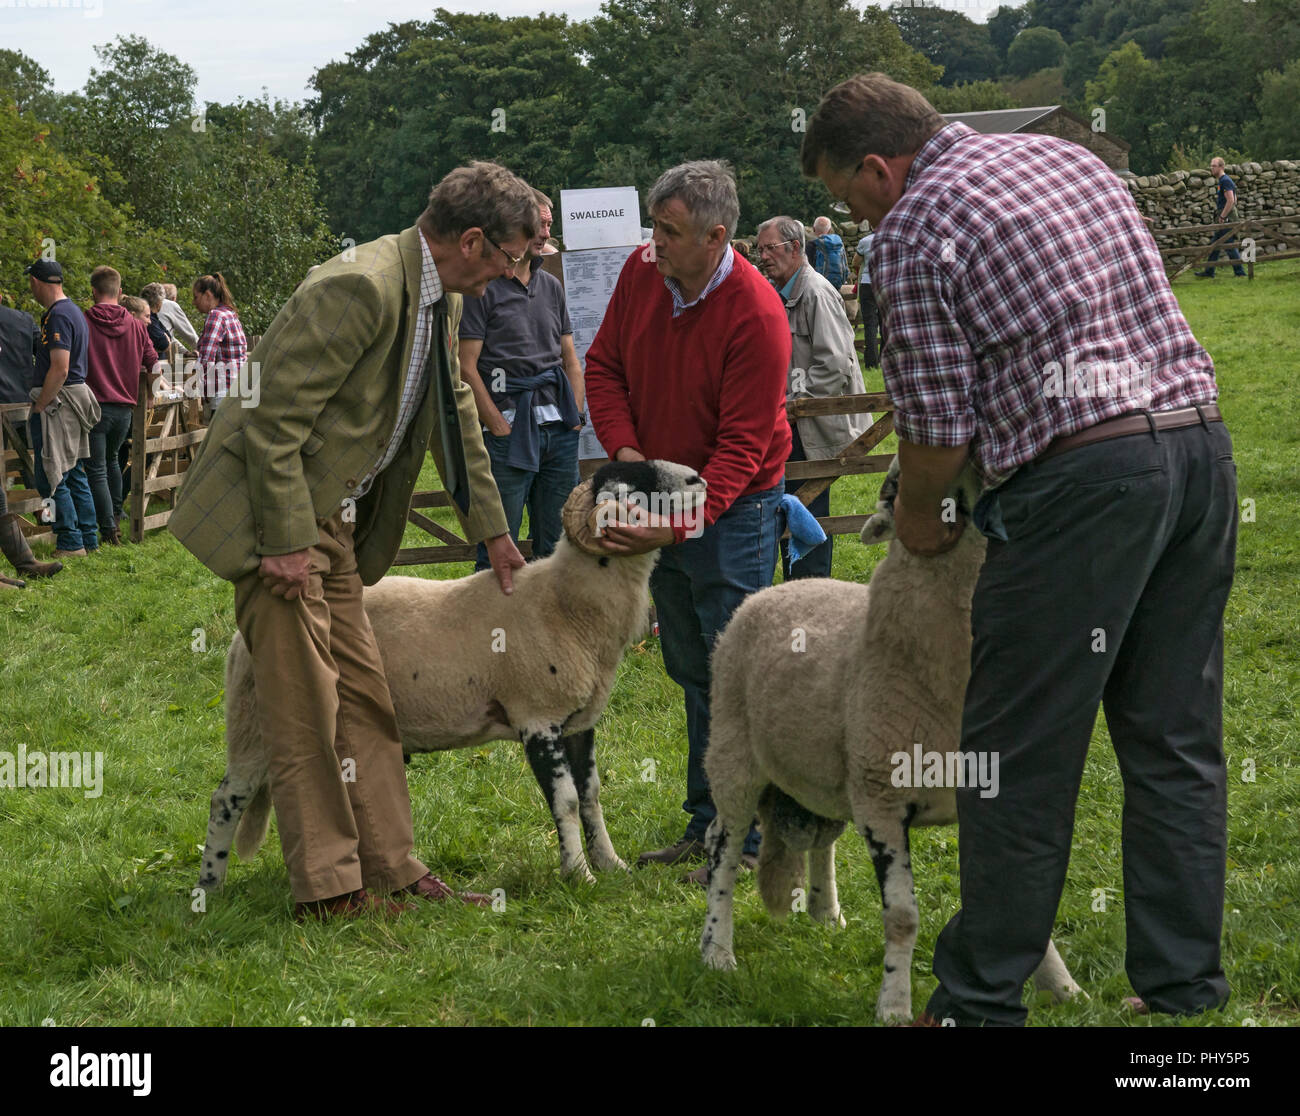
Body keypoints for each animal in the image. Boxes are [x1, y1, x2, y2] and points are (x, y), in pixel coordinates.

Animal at [197, 457, 707, 889]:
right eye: (637, 489)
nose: (700, 479)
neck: (563, 602)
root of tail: (240, 640)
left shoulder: (579, 723)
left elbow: (591, 796)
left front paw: (611, 864)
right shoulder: (537, 717)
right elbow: (564, 801)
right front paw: (579, 876)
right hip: (254, 722)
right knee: (227, 799)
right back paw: (210, 889)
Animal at [696, 457, 1081, 1019]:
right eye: (896, 487)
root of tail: (776, 588)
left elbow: (1013, 899)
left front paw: (1063, 989)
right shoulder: (882, 799)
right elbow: (902, 917)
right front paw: (894, 1006)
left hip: (824, 773)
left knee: (820, 839)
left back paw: (825, 914)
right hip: (733, 755)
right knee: (721, 849)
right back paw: (716, 949)